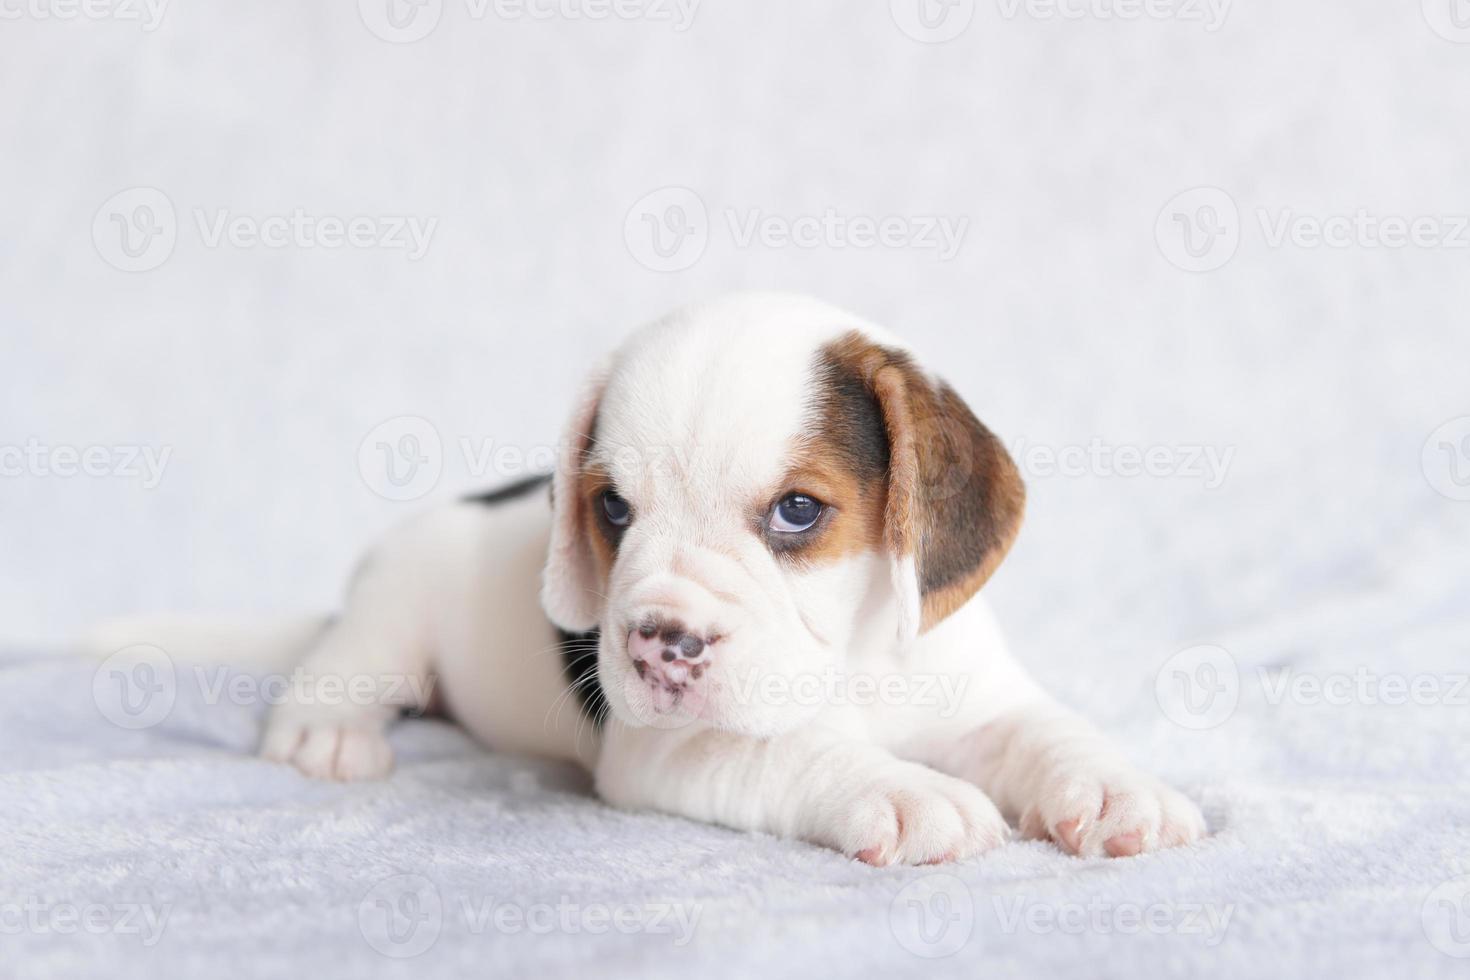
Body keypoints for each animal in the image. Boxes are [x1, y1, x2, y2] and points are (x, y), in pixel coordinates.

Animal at [111, 290, 1205, 863]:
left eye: (797, 511)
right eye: (614, 511)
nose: (658, 645)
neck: (851, 662)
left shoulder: (979, 697)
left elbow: (1046, 732)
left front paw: (1119, 788)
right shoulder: (670, 754)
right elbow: (798, 752)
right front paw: (901, 789)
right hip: (388, 614)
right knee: (343, 664)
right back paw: (326, 731)